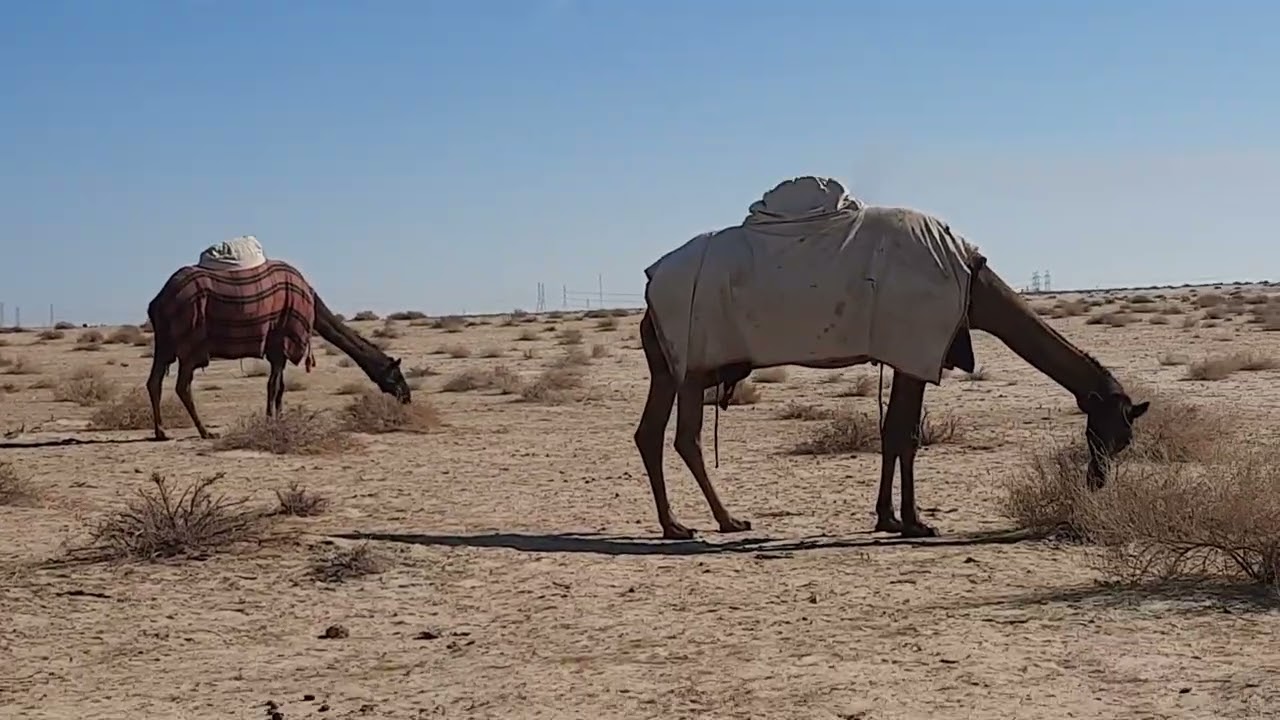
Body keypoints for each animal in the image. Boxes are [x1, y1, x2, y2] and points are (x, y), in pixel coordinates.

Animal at [145, 255, 411, 441]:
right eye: (397, 374)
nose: (407, 396)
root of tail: (158, 299)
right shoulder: (282, 340)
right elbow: (273, 386)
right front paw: (270, 421)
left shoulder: (278, 349)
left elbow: (280, 387)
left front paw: (279, 419)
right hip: (190, 338)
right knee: (182, 385)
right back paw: (205, 432)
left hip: (164, 341)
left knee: (154, 380)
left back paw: (161, 432)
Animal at [634, 178, 1149, 540]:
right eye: (1108, 433)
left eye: (1123, 438)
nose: (1097, 482)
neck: (974, 287)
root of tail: (650, 284)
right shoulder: (916, 348)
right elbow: (904, 435)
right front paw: (914, 521)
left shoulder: (910, 355)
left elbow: (895, 432)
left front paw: (890, 518)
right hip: (692, 361)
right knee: (686, 438)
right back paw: (723, 521)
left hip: (667, 364)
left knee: (650, 433)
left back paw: (676, 524)